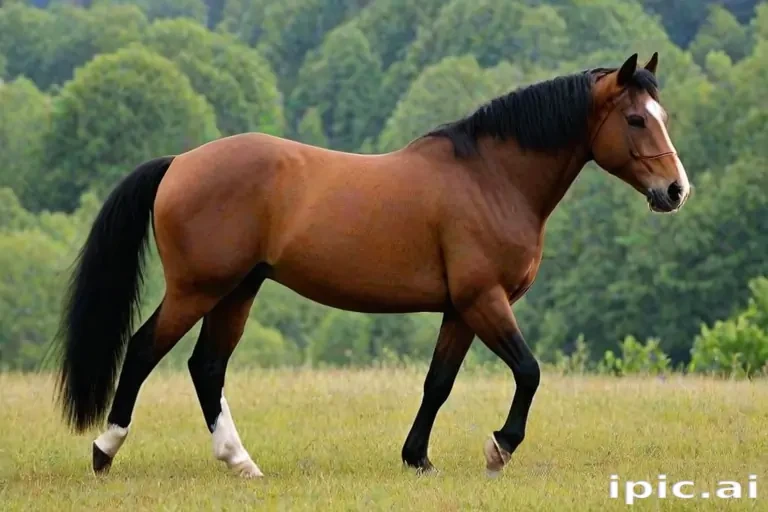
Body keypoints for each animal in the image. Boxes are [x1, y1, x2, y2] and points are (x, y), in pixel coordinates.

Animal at [55, 52, 690, 478]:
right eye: (636, 119)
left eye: (663, 114)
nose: (676, 190)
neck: (491, 177)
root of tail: (180, 162)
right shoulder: (485, 299)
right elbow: (529, 372)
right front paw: (499, 448)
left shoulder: (461, 310)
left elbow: (438, 383)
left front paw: (417, 458)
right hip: (198, 288)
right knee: (144, 350)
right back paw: (105, 452)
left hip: (237, 290)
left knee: (207, 367)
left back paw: (240, 463)